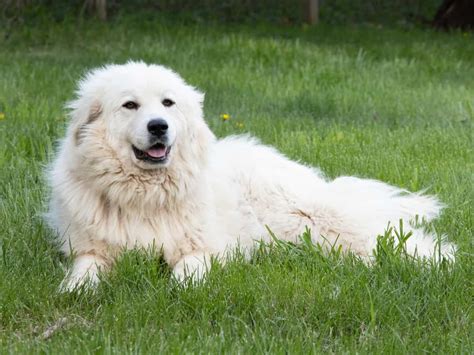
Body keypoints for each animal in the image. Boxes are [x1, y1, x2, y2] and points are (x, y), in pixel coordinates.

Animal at [47, 62, 456, 292]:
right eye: (130, 105)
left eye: (167, 103)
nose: (159, 126)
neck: (145, 195)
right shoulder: (91, 250)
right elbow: (85, 271)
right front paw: (75, 290)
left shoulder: (205, 248)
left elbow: (187, 273)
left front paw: (180, 290)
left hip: (316, 219)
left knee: (389, 241)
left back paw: (437, 260)